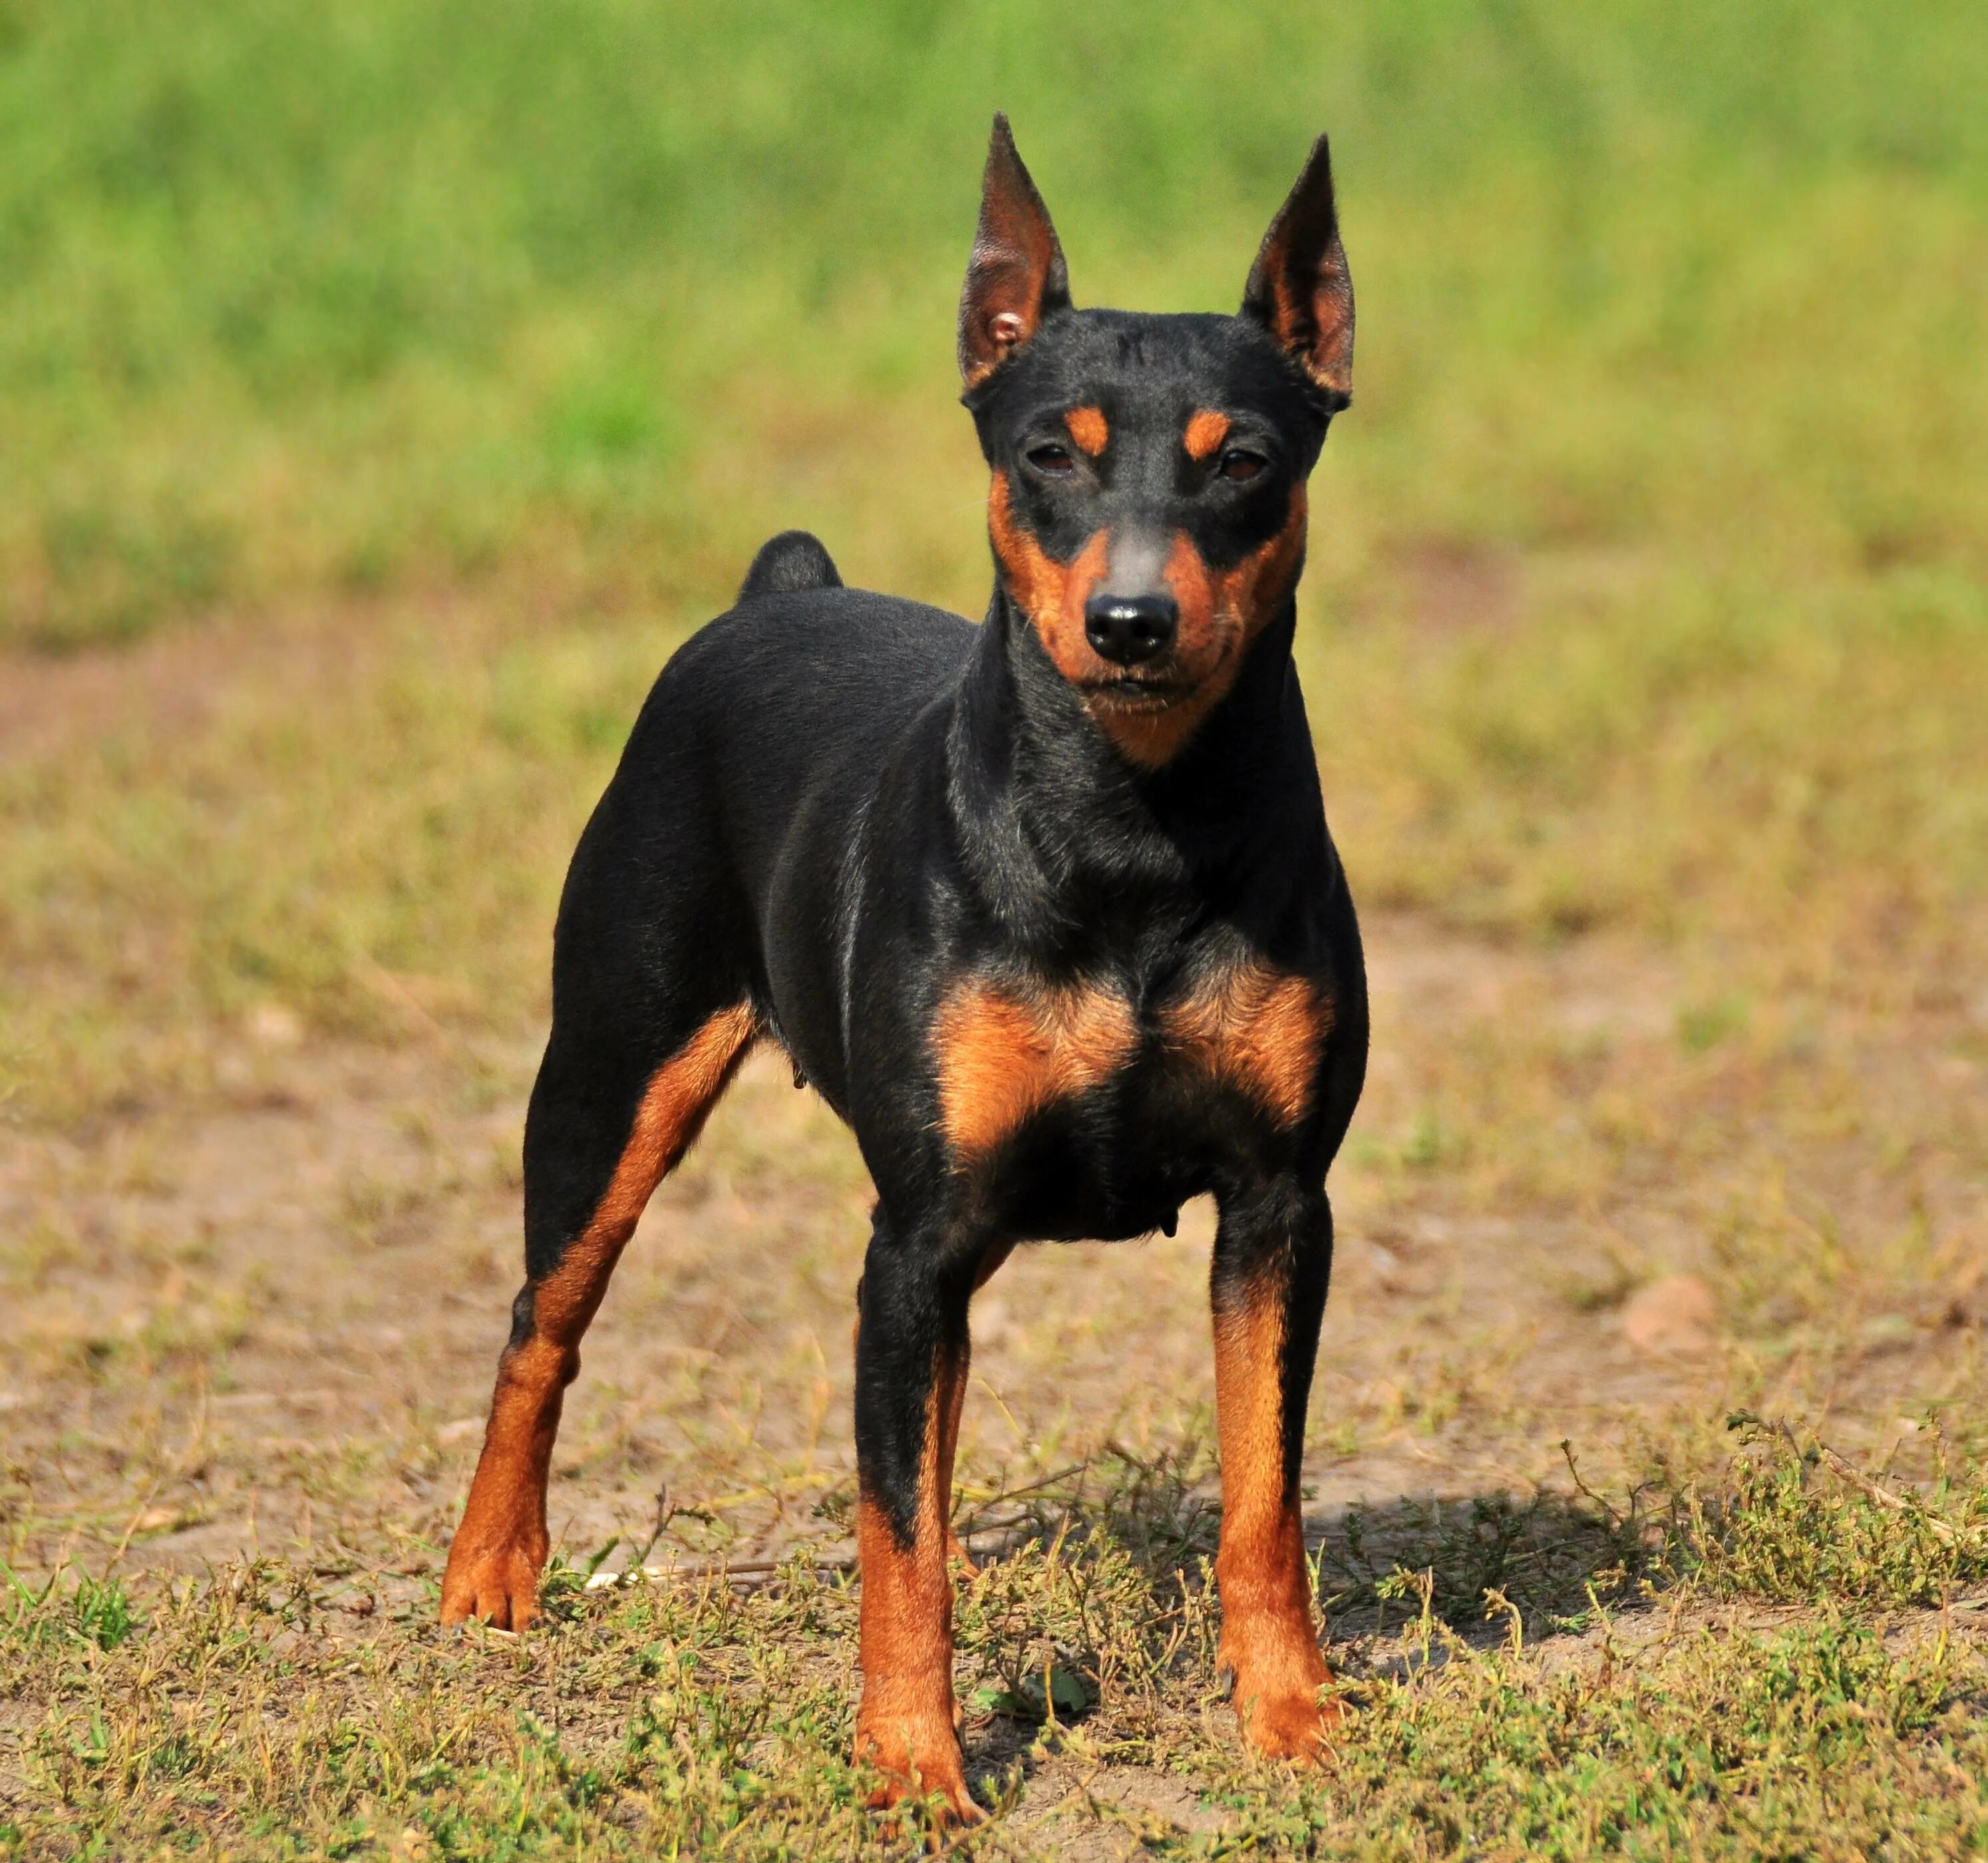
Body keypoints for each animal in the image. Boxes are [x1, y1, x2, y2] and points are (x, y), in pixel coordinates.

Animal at [441, 116, 1359, 1821]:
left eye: (1243, 462)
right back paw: (488, 1571)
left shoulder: (1278, 1206)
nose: (1130, 622)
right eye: (1047, 454)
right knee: (545, 1318)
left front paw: (1293, 1725)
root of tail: (780, 590)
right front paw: (917, 1770)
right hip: (610, 1076)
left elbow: (1259, 1496)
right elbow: (897, 1536)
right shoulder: (912, 1241)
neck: (1130, 828)